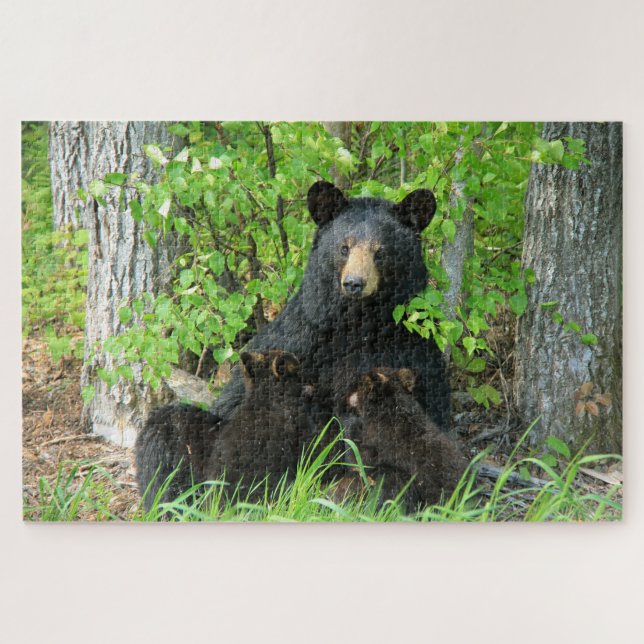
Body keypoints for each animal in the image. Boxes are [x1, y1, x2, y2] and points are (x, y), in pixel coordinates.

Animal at [212, 180, 450, 439]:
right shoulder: (299, 339)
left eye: (380, 251)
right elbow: (232, 402)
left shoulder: (412, 351)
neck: (356, 321)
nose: (354, 283)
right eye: (344, 248)